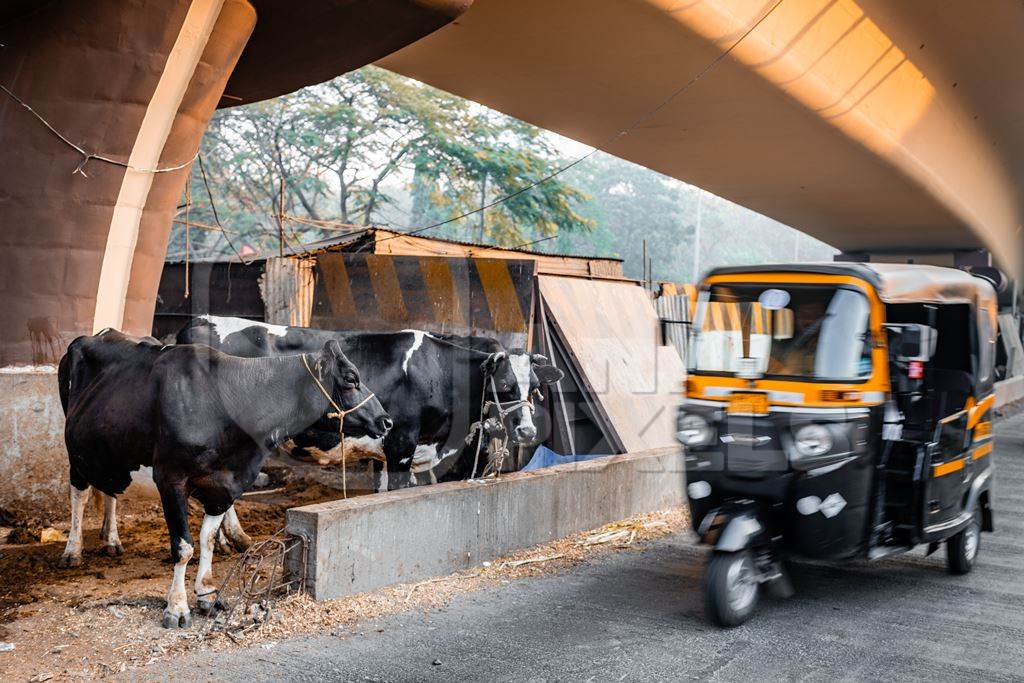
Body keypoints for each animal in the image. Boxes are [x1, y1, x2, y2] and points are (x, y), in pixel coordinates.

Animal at [58, 327, 387, 626]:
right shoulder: (170, 478)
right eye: (351, 379)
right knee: (80, 494)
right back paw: (73, 550)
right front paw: (177, 607)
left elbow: (208, 540)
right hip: (76, 452)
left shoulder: (226, 484)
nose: (386, 420)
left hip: (111, 449)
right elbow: (184, 547)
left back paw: (112, 540)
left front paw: (207, 594)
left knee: (111, 488)